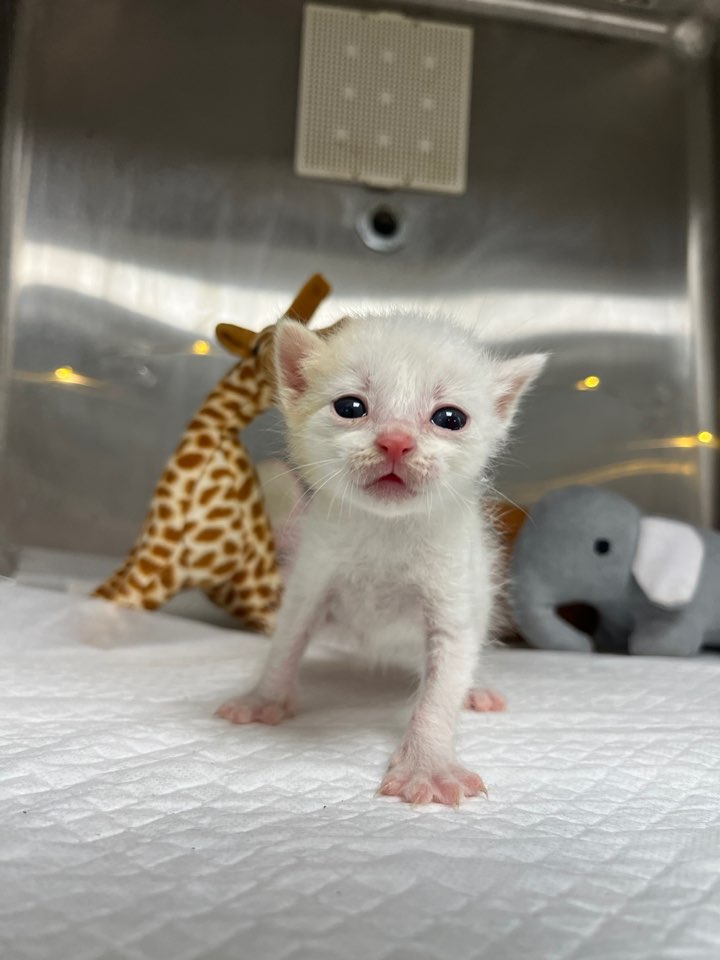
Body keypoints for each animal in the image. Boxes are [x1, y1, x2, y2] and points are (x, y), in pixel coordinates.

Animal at [217, 314, 544, 804]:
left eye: (450, 418)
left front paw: (427, 765)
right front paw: (263, 699)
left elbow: (443, 683)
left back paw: (475, 692)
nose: (396, 442)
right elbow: (288, 638)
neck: (386, 530)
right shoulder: (314, 571)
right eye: (350, 406)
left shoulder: (452, 593)